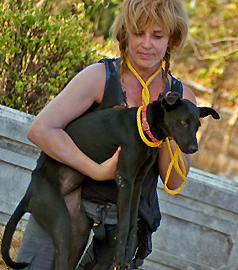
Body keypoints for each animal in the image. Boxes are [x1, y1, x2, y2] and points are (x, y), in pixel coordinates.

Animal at [0, 93, 219, 270]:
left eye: (197, 126)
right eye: (183, 122)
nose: (194, 149)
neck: (145, 127)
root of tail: (29, 193)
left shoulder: (137, 183)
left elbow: (131, 224)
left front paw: (127, 259)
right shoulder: (124, 179)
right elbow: (123, 226)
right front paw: (119, 261)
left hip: (77, 230)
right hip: (59, 220)